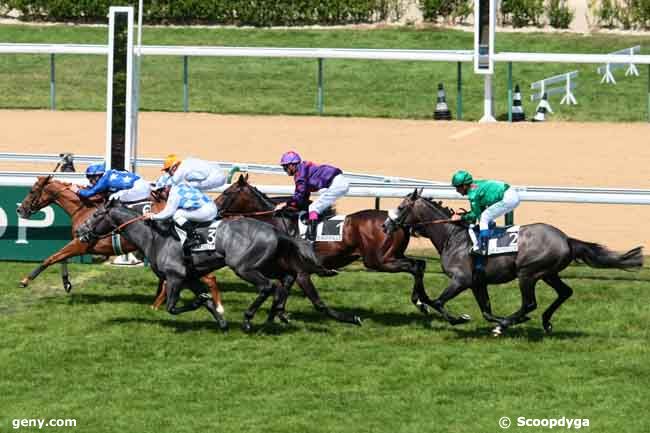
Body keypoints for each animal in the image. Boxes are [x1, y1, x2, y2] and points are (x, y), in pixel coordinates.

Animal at [15, 176, 223, 314]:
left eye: (32, 191)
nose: (20, 209)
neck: (84, 209)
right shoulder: (80, 241)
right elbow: (61, 259)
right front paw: (66, 283)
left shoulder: (82, 243)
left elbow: (52, 258)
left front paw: (26, 280)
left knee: (208, 277)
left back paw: (215, 306)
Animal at [77, 202, 360, 330]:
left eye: (96, 214)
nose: (81, 231)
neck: (155, 237)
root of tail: (275, 230)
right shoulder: (190, 276)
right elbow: (205, 299)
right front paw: (220, 320)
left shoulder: (175, 276)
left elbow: (173, 307)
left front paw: (201, 306)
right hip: (270, 264)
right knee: (287, 284)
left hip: (243, 267)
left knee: (268, 286)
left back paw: (249, 319)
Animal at [213, 173, 430, 314]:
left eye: (227, 192)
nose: (214, 209)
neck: (276, 223)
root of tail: (398, 222)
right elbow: (284, 289)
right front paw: (280, 313)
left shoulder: (296, 267)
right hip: (393, 255)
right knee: (419, 264)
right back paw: (426, 302)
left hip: (378, 260)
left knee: (414, 267)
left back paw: (422, 302)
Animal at [382, 188, 640, 334]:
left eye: (401, 207)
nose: (385, 225)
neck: (452, 237)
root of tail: (566, 238)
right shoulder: (477, 282)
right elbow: (486, 310)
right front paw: (489, 319)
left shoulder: (461, 280)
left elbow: (438, 302)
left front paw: (459, 319)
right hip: (549, 273)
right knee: (565, 292)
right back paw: (542, 322)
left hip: (528, 274)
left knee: (530, 303)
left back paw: (506, 323)